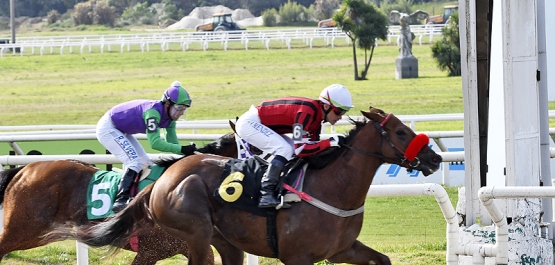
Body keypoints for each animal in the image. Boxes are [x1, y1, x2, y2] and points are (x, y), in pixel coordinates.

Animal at [54, 106, 444, 264]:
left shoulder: (341, 251)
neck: (333, 187)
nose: (435, 158)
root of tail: (164, 179)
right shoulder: (298, 257)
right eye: (400, 132)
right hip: (194, 234)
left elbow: (383, 259)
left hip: (225, 243)